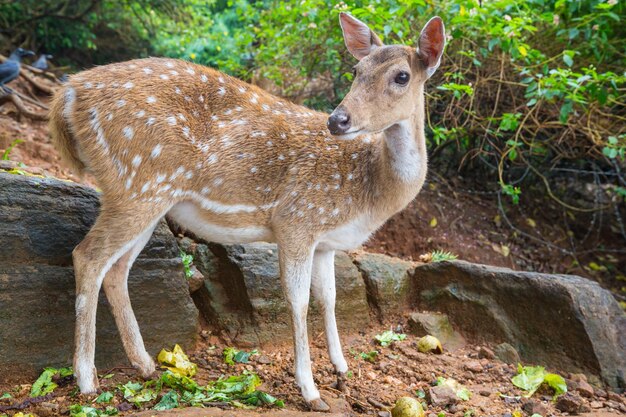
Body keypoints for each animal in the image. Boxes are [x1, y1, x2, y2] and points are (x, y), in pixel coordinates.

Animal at [48, 12, 444, 410]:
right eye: (356, 70)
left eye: (401, 76)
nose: (338, 120)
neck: (368, 190)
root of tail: (66, 95)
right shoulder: (296, 219)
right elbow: (299, 301)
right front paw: (311, 391)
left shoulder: (325, 241)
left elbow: (329, 298)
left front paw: (341, 369)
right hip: (137, 183)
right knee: (88, 256)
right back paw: (86, 379)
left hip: (146, 196)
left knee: (116, 269)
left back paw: (145, 364)